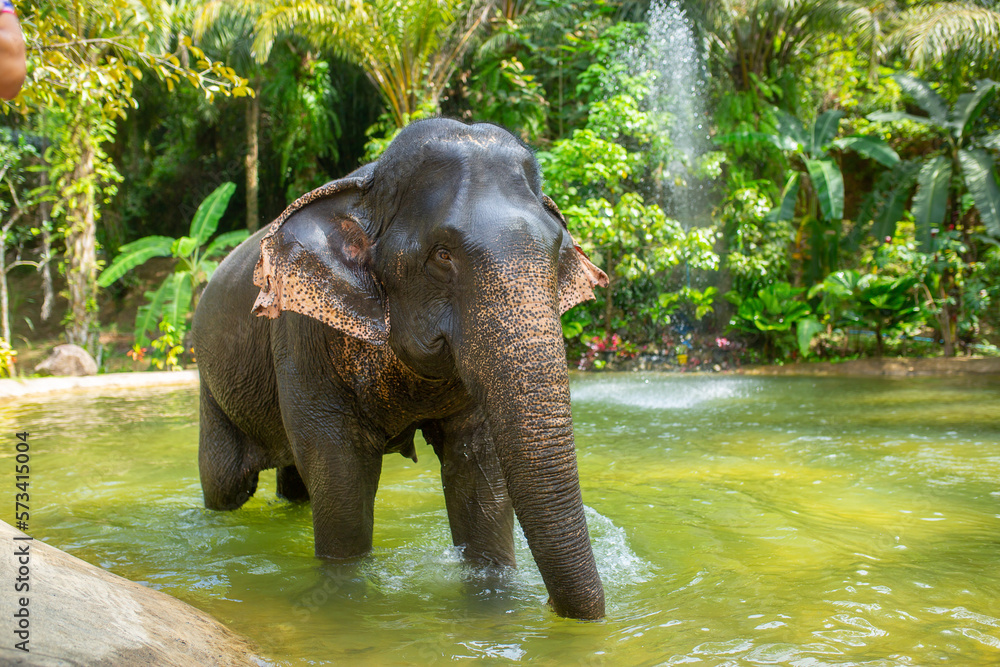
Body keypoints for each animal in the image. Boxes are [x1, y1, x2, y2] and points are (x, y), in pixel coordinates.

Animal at [191, 118, 608, 620]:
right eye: (442, 255)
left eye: (556, 250)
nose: (551, 607)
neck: (367, 192)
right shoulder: (303, 333)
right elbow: (341, 476)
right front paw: (346, 593)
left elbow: (479, 472)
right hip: (210, 380)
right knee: (226, 483)